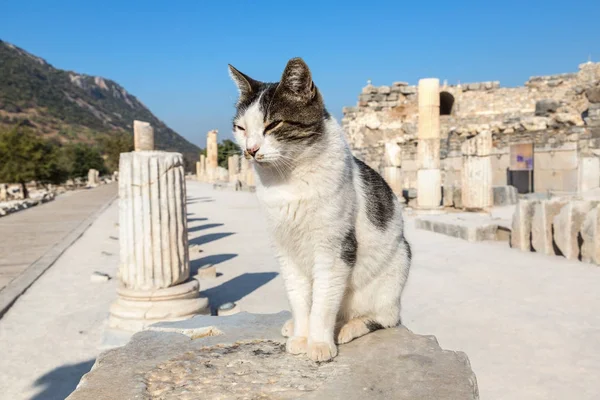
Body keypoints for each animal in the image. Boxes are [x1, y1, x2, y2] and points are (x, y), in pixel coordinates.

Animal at [227, 58, 410, 362]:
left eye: (273, 124)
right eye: (240, 128)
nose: (250, 150)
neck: (288, 181)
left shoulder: (334, 249)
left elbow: (323, 303)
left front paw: (320, 343)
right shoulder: (285, 249)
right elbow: (300, 299)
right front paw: (302, 337)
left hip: (396, 267)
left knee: (385, 318)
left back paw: (347, 327)